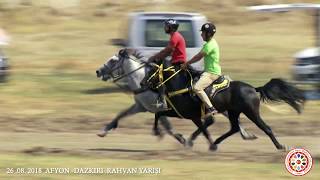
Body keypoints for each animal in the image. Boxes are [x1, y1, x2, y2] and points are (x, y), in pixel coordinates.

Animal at [95, 48, 258, 146]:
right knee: (231, 119)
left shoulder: (156, 107)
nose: (98, 71)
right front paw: (104, 131)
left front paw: (179, 138)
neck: (142, 80)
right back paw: (247, 135)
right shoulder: (140, 106)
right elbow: (121, 114)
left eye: (113, 60)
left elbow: (167, 126)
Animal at [142, 62, 304, 150]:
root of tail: (253, 88)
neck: (181, 86)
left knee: (266, 128)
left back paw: (280, 146)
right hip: (233, 112)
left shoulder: (190, 114)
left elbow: (204, 127)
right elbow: (159, 114)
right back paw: (217, 142)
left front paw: (186, 140)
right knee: (234, 128)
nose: (142, 83)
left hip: (251, 112)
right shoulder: (183, 113)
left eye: (152, 71)